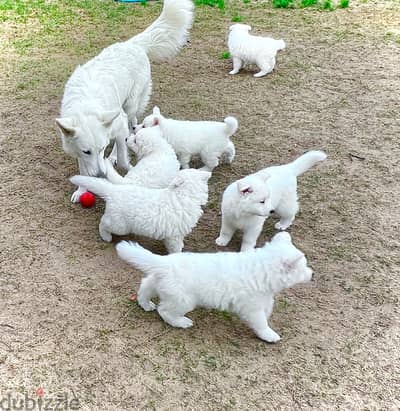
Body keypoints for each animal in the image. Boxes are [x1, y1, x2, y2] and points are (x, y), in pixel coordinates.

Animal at [55, 0, 194, 203]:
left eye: (102, 148)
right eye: (87, 151)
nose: (101, 175)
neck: (86, 108)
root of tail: (133, 44)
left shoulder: (117, 126)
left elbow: (122, 156)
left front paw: (127, 169)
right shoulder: (78, 148)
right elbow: (83, 167)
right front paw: (82, 188)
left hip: (129, 106)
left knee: (132, 123)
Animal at [70, 168, 211, 253]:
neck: (184, 195)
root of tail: (113, 191)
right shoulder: (175, 235)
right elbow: (175, 248)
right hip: (119, 225)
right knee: (102, 224)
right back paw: (106, 237)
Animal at [115, 232, 312, 344]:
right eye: (303, 268)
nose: (312, 274)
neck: (262, 269)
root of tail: (164, 263)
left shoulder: (261, 299)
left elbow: (267, 309)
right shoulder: (251, 307)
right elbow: (261, 322)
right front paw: (269, 335)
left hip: (158, 282)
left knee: (145, 286)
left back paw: (145, 304)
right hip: (183, 300)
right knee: (165, 311)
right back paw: (181, 322)